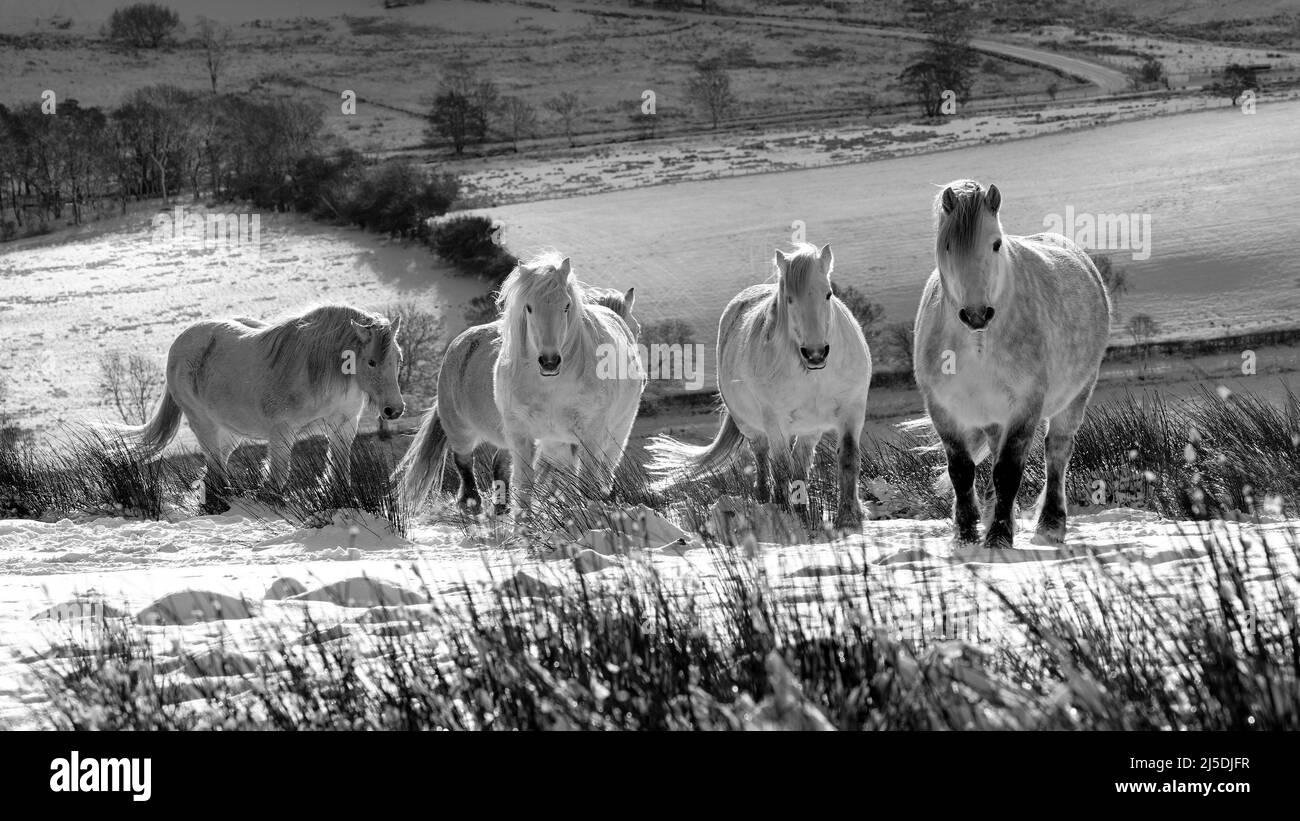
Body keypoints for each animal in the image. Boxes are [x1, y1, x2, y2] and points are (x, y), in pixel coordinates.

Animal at [122, 305, 405, 514]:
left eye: (398, 359)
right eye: (371, 362)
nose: (394, 409)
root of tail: (179, 344)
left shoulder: (343, 426)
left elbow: (340, 471)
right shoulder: (282, 431)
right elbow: (278, 476)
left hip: (230, 432)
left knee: (213, 469)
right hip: (205, 425)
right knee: (216, 469)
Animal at [395, 281, 639, 514]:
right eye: (637, 327)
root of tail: (458, 345)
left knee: (499, 464)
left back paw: (502, 506)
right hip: (459, 426)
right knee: (464, 461)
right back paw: (472, 502)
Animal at [488, 252, 644, 506]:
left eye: (566, 305)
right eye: (529, 307)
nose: (550, 361)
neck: (550, 386)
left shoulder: (590, 437)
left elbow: (586, 483)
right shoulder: (521, 436)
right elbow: (523, 488)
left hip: (614, 434)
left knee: (603, 471)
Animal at [642, 240, 868, 530]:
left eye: (828, 294)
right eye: (789, 299)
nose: (815, 353)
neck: (815, 376)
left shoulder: (852, 411)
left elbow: (848, 459)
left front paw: (849, 517)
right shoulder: (776, 422)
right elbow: (781, 469)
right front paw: (785, 515)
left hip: (810, 428)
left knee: (801, 463)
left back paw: (804, 512)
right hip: (751, 426)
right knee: (762, 458)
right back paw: (768, 501)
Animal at [909, 180, 1112, 550]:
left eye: (995, 243)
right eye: (947, 245)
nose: (976, 314)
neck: (977, 344)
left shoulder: (1025, 407)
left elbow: (1008, 471)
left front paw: (999, 538)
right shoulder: (943, 410)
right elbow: (962, 471)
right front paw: (965, 536)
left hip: (1075, 397)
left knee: (1057, 451)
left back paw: (1051, 525)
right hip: (993, 418)